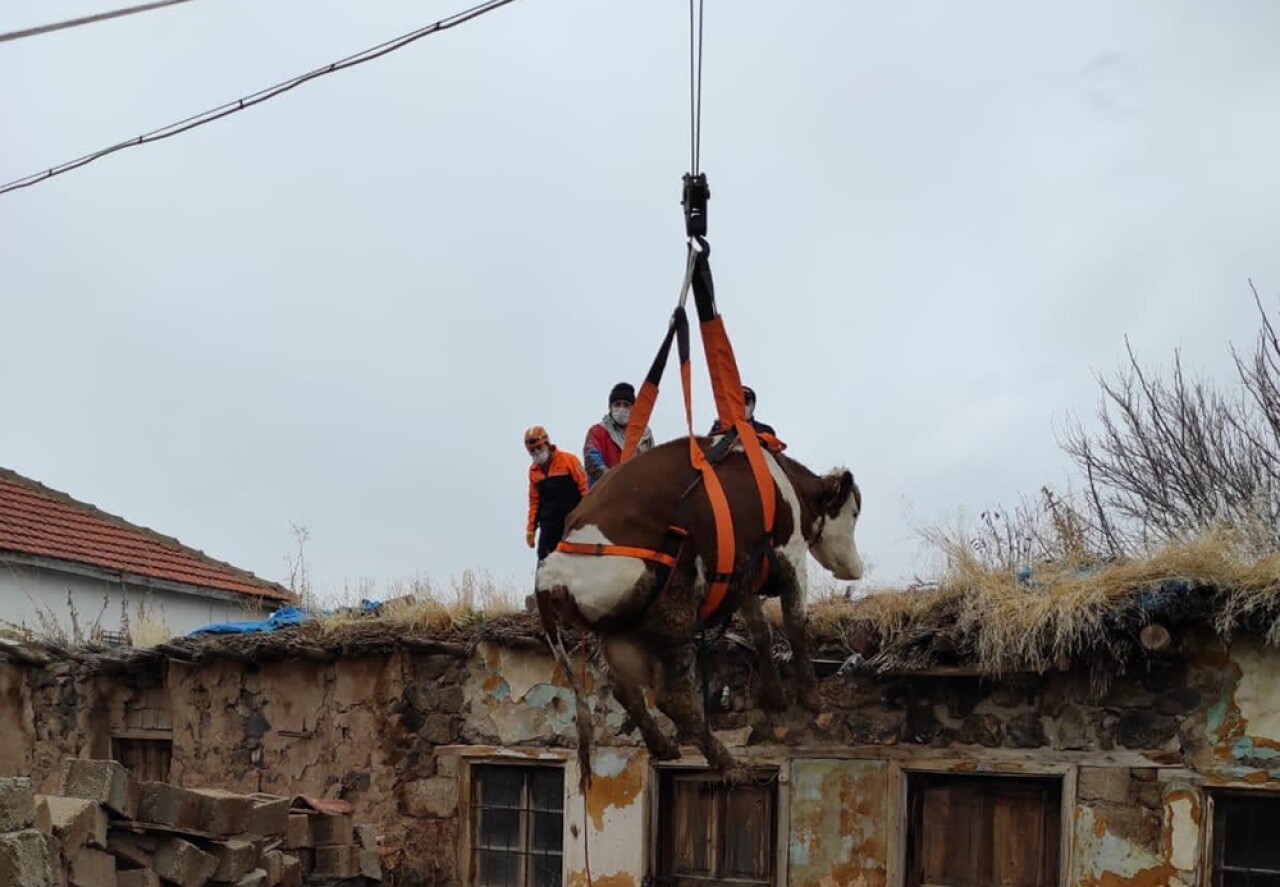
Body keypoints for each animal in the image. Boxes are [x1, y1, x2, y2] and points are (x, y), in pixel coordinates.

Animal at [529, 432, 860, 783]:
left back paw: (663, 746)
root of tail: (551, 573)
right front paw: (811, 697)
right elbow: (796, 622)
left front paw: (775, 695)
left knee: (625, 691)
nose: (856, 569)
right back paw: (728, 764)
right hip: (675, 611)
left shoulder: (743, 576)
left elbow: (761, 631)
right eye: (854, 514)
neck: (784, 484)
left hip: (619, 632)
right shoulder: (790, 555)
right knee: (671, 698)